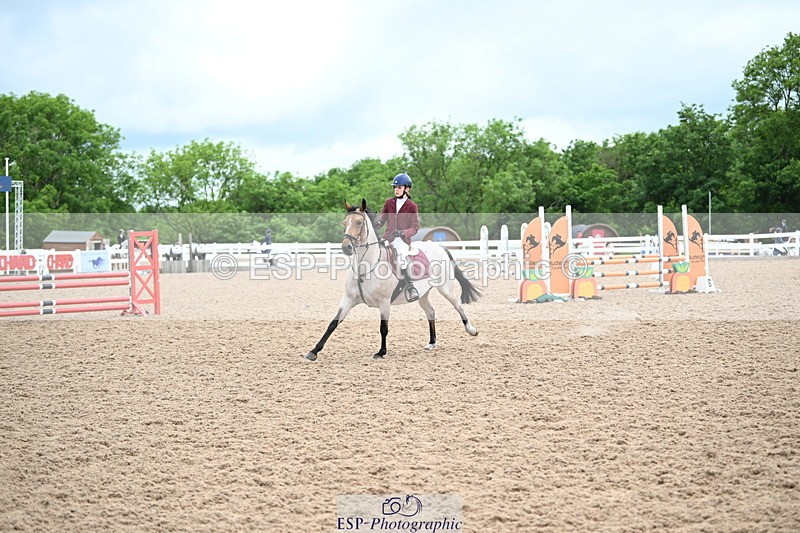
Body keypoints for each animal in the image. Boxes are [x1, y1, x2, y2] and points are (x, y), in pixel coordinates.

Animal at [304, 199, 481, 361]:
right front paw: (314, 351)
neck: (366, 268)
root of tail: (439, 247)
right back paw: (431, 343)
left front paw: (381, 352)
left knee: (458, 305)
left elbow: (383, 328)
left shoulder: (384, 303)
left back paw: (471, 330)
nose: (346, 247)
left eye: (359, 222)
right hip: (423, 294)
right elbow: (333, 323)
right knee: (430, 311)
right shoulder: (348, 299)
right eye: (345, 222)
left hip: (445, 288)